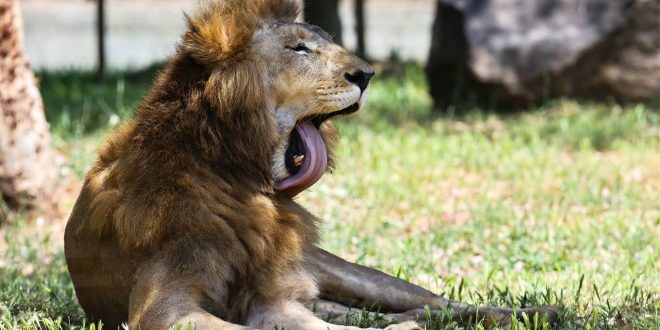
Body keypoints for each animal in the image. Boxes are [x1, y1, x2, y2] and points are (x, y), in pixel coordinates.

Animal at [64, 0, 556, 330]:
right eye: (299, 49)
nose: (367, 75)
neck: (236, 177)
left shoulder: (273, 297)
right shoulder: (162, 307)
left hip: (349, 274)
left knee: (435, 301)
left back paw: (537, 310)